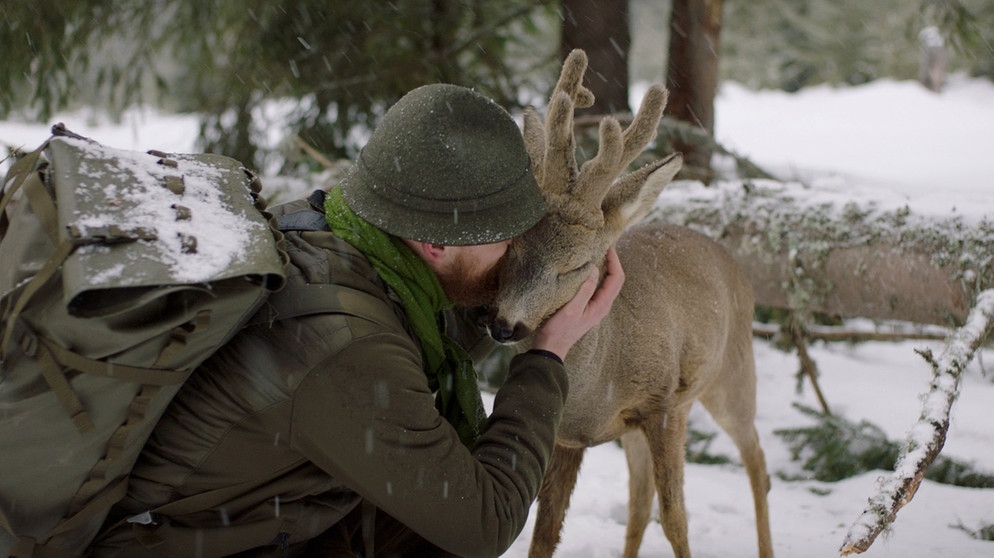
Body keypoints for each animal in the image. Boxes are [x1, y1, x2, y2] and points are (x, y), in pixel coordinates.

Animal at [492, 49, 772, 558]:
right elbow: (545, 532)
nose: (504, 325)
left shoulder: (661, 403)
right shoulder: (570, 437)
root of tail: (731, 261)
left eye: (575, 266)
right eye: (512, 246)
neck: (597, 382)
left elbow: (677, 519)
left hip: (732, 374)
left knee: (758, 464)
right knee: (639, 503)